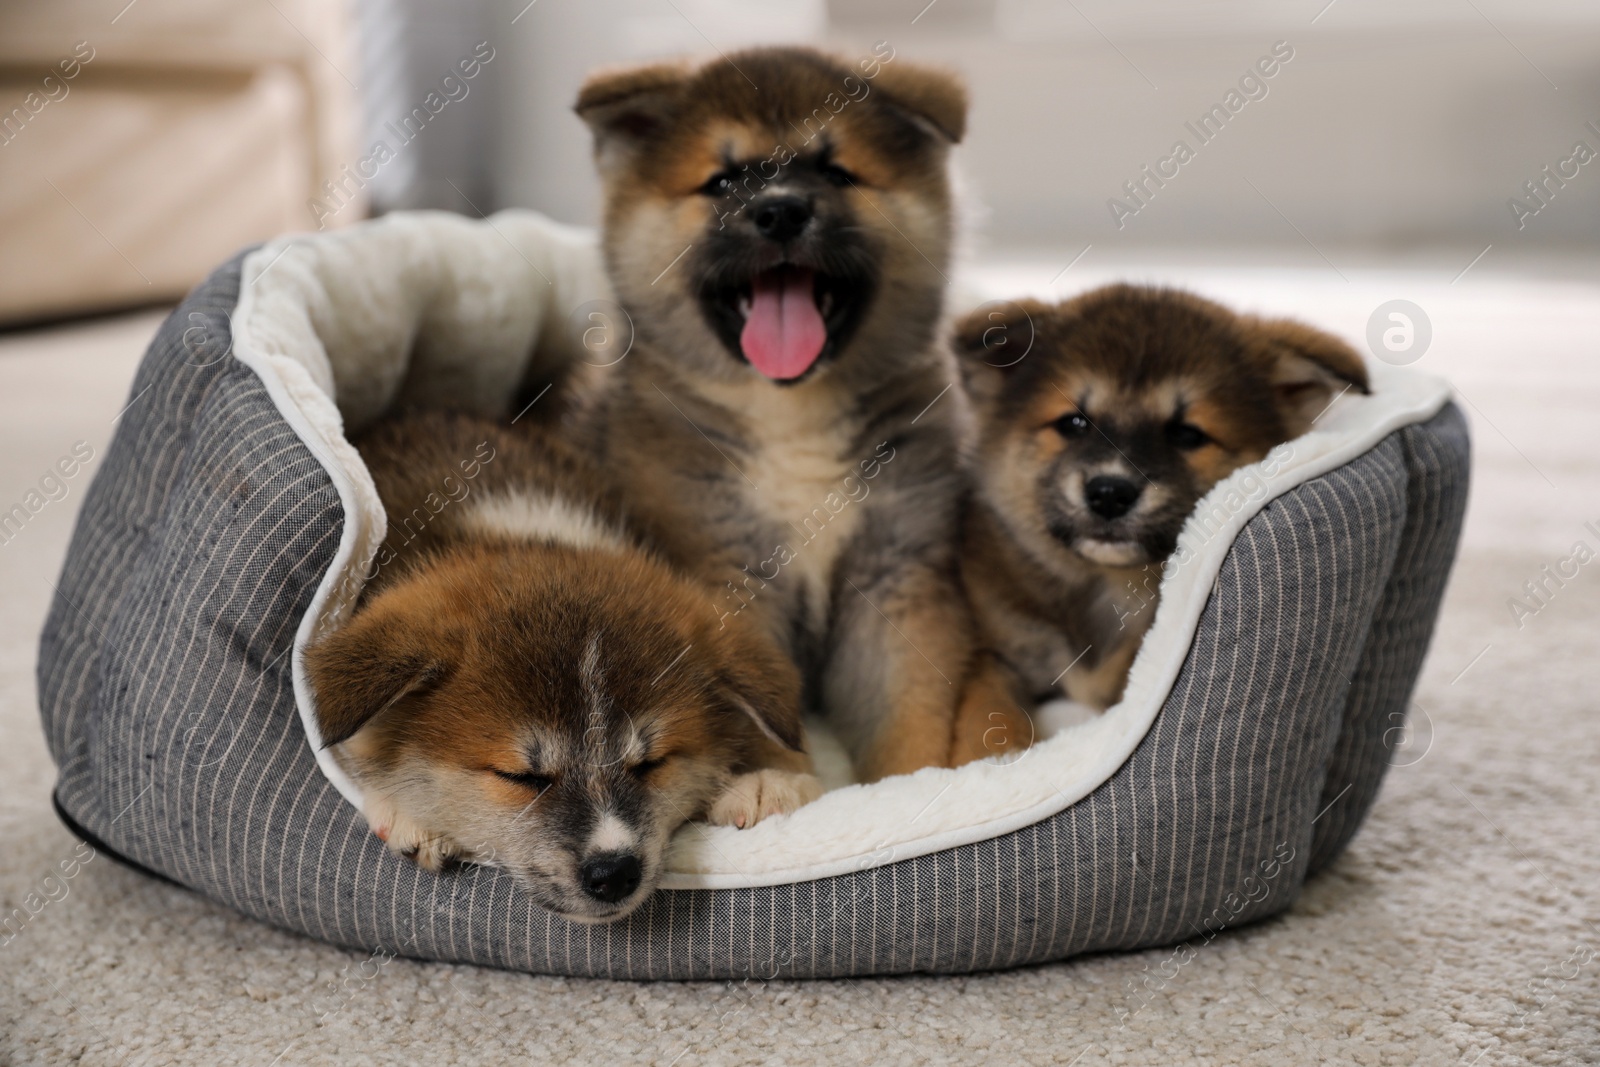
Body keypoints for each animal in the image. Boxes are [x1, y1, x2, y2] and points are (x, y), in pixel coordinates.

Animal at [304, 409, 819, 921]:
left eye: (651, 764)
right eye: (522, 777)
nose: (613, 873)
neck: (525, 536)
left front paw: (770, 778)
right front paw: (411, 813)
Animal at [576, 45, 972, 780]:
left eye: (837, 172)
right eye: (723, 181)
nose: (781, 210)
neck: (793, 421)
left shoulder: (894, 584)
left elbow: (911, 720)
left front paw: (918, 787)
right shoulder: (728, 574)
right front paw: (774, 787)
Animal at [947, 286, 1376, 767]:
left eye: (1187, 435)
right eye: (1074, 423)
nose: (1109, 492)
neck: (1106, 586)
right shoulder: (994, 650)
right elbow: (988, 715)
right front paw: (992, 757)